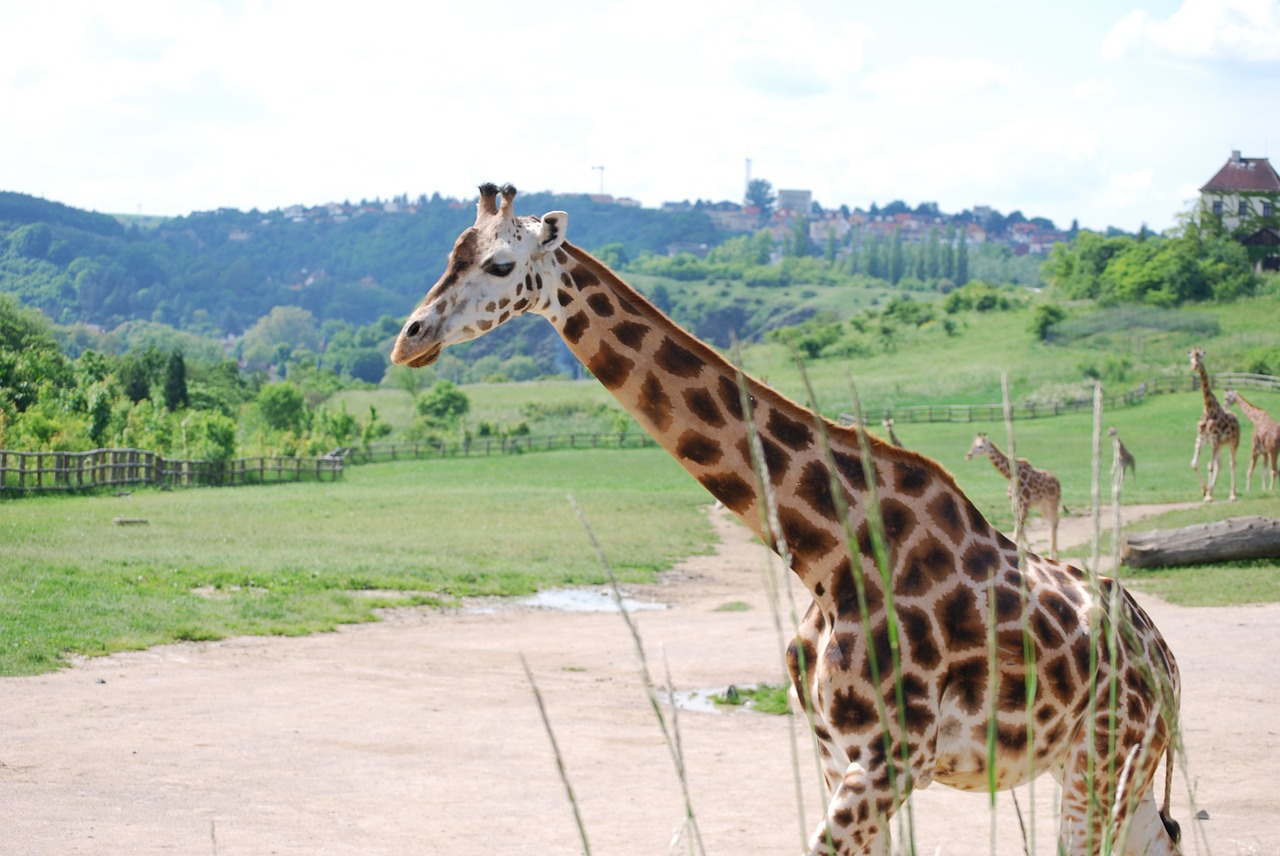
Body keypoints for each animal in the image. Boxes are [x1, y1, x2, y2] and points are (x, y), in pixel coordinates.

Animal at [386, 185, 1177, 854]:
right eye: (449, 253)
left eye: (501, 262)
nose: (409, 338)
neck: (826, 556)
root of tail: (1164, 657)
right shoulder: (836, 756)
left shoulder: (887, 761)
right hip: (1113, 773)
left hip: (1102, 762)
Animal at [1187, 348, 1239, 501]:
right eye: (1191, 356)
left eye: (1200, 356)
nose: (1194, 366)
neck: (1208, 409)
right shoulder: (1201, 438)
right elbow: (1195, 463)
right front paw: (1206, 491)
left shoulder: (1214, 438)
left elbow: (1209, 466)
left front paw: (1208, 496)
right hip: (1221, 445)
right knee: (1219, 464)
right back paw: (1212, 490)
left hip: (1233, 442)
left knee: (1232, 463)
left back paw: (1233, 495)